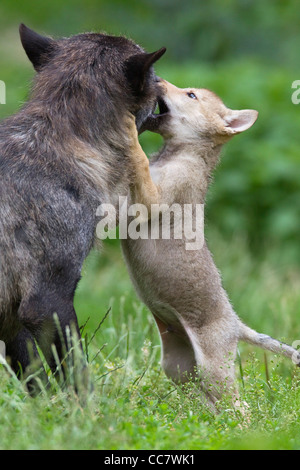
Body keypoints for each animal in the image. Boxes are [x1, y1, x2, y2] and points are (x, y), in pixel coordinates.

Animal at [0, 23, 165, 388]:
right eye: (154, 78)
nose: (165, 85)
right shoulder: (47, 301)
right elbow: (75, 374)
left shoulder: (14, 318)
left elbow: (35, 383)